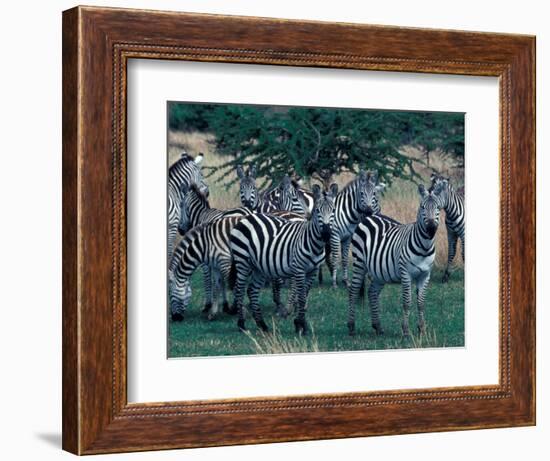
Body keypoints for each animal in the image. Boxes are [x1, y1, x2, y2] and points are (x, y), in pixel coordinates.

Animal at [229, 184, 336, 334]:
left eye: (333, 210)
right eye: (317, 211)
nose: (326, 233)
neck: (313, 243)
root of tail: (246, 218)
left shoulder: (313, 271)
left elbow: (304, 295)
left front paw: (300, 323)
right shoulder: (299, 269)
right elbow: (301, 297)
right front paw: (300, 325)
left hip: (258, 267)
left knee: (252, 291)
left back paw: (262, 325)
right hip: (242, 261)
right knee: (239, 290)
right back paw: (241, 325)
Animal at [350, 181, 444, 336]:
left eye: (438, 208)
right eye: (422, 207)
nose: (431, 228)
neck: (424, 247)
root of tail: (370, 216)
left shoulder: (425, 275)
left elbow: (421, 303)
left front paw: (422, 329)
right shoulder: (406, 274)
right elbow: (407, 303)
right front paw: (405, 331)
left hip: (379, 272)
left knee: (372, 292)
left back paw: (378, 326)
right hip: (359, 263)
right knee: (353, 291)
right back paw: (351, 326)